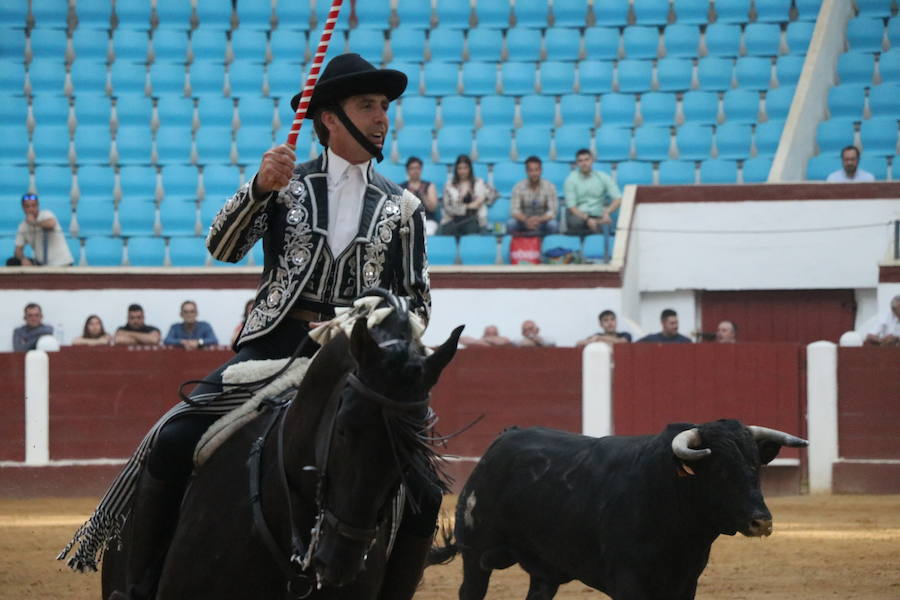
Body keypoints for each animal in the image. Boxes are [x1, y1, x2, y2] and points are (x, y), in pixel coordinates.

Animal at [428, 420, 808, 596]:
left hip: (544, 571)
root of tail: (502, 440)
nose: (762, 522)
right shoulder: (630, 584)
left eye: (755, 467)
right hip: (475, 557)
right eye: (719, 471)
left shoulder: (685, 584)